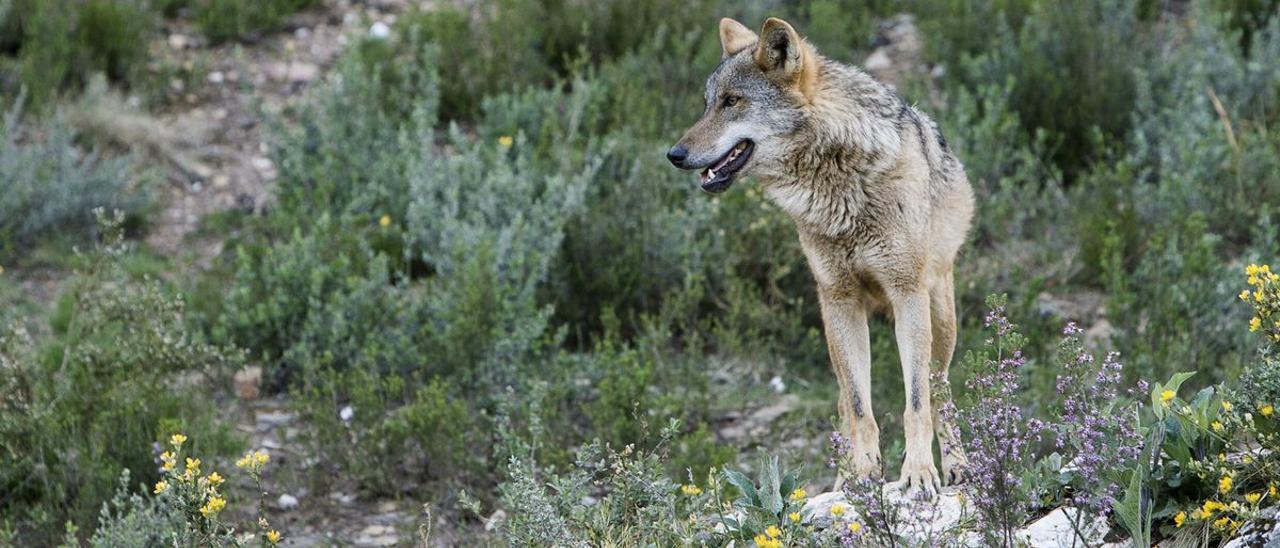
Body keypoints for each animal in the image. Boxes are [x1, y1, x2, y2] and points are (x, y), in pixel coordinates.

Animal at [665, 18, 972, 496]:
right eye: (707, 104)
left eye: (732, 102)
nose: (674, 155)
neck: (840, 183)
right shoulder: (838, 299)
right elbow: (861, 408)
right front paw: (862, 476)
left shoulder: (906, 293)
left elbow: (916, 403)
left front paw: (919, 473)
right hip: (835, 326)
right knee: (846, 402)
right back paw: (844, 476)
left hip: (939, 318)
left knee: (941, 393)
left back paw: (957, 466)